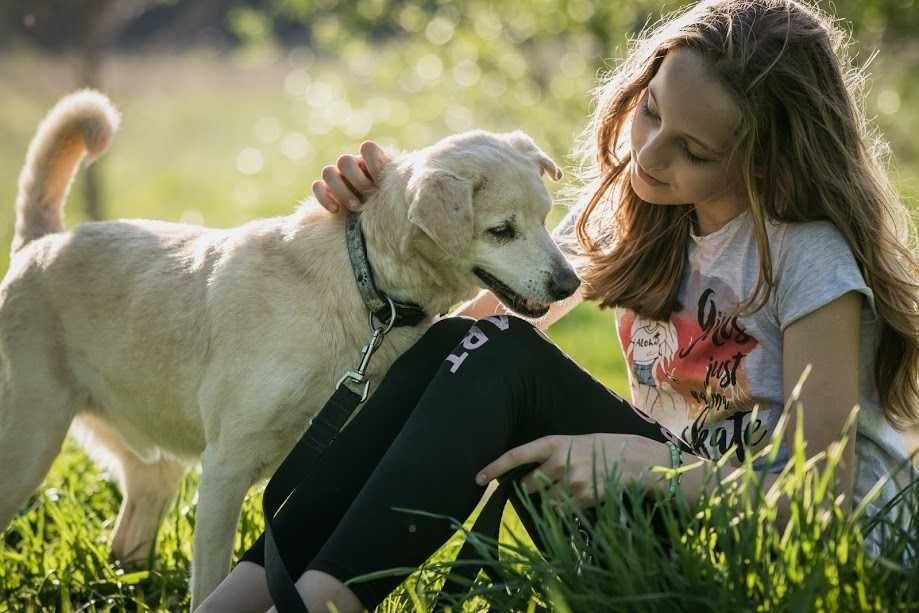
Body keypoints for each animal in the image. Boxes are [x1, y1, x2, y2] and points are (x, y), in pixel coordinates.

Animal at [0, 89, 576, 604]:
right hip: (28, 450)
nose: (570, 283)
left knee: (126, 541)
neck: (366, 288)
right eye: (501, 231)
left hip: (153, 468)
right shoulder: (225, 468)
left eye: (545, 219)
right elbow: (211, 579)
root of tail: (41, 242)